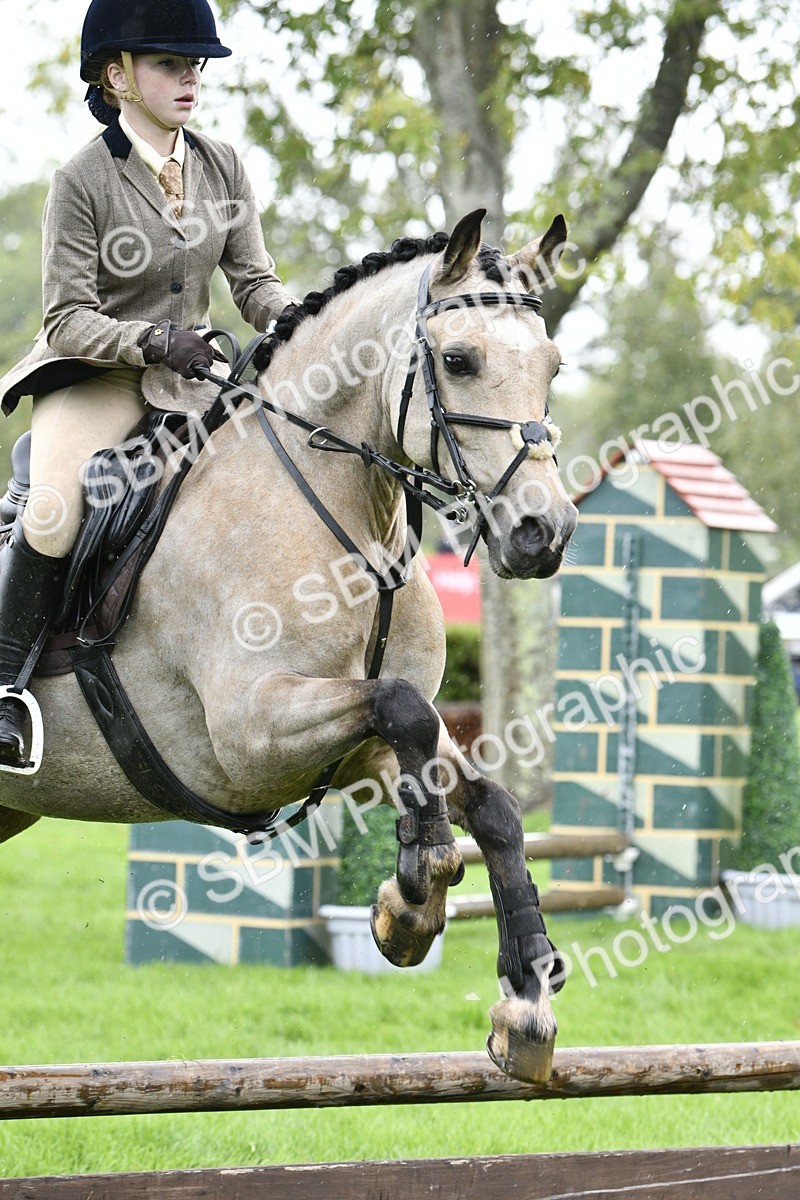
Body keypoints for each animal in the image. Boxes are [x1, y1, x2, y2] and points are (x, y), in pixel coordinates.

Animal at [0, 208, 577, 1083]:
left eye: (552, 366)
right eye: (459, 360)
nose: (545, 532)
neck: (351, 524)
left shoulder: (350, 747)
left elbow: (488, 799)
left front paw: (521, 1000)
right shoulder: (249, 739)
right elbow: (403, 709)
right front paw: (420, 886)